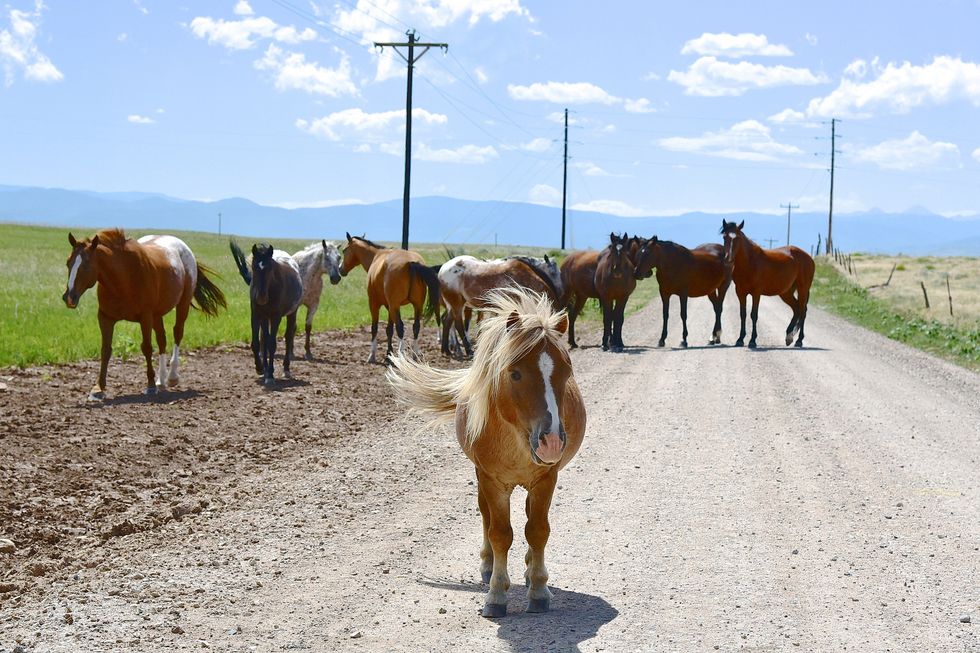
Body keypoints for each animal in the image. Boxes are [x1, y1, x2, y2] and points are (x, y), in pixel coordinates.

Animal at [62, 229, 226, 400]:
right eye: (68, 262)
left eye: (87, 264)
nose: (69, 297)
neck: (124, 278)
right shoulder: (105, 318)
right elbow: (105, 350)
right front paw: (98, 389)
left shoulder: (145, 317)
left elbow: (146, 347)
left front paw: (151, 385)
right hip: (157, 315)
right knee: (162, 340)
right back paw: (162, 380)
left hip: (183, 304)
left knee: (177, 333)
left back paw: (172, 377)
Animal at [230, 241, 304, 383]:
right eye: (253, 267)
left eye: (270, 268)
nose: (261, 298)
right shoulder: (256, 314)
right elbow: (257, 343)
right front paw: (260, 368)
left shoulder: (276, 317)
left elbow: (272, 344)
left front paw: (270, 374)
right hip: (265, 317)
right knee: (264, 338)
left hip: (292, 313)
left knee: (288, 336)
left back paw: (286, 369)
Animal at [340, 234, 441, 363]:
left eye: (344, 250)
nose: (340, 269)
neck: (377, 256)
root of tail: (411, 263)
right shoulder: (390, 307)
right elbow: (389, 329)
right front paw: (388, 354)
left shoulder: (375, 304)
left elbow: (375, 328)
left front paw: (372, 355)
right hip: (416, 306)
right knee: (416, 327)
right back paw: (414, 355)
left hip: (395, 306)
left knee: (400, 327)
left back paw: (401, 356)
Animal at [385, 288, 586, 618]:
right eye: (515, 374)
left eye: (567, 371)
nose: (552, 442)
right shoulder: (492, 481)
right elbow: (500, 533)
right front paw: (496, 594)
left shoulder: (546, 478)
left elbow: (538, 530)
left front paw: (538, 589)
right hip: (481, 479)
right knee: (485, 517)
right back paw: (489, 566)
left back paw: (529, 570)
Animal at [720, 219, 815, 348]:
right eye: (724, 237)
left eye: (738, 238)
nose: (728, 258)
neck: (750, 262)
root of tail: (809, 258)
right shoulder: (740, 292)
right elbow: (743, 314)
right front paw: (740, 339)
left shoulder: (756, 293)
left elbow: (754, 315)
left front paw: (752, 341)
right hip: (786, 292)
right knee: (796, 309)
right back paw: (789, 336)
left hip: (803, 289)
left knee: (803, 311)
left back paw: (798, 340)